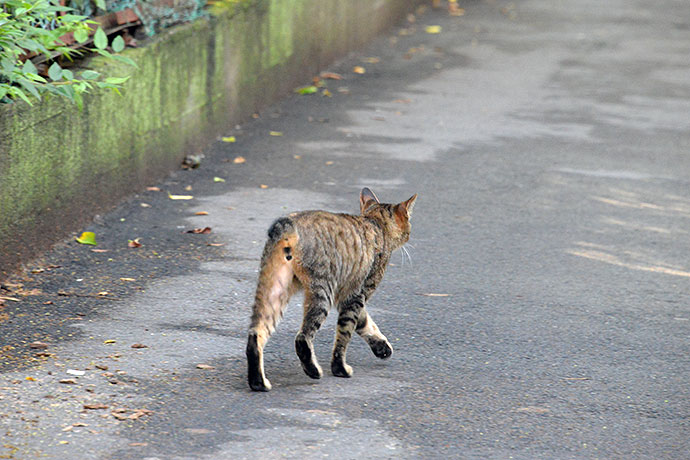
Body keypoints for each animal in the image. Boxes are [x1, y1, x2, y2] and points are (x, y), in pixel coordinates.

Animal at [247, 187, 420, 392]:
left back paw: (258, 382)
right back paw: (313, 370)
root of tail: (290, 223)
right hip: (322, 292)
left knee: (255, 334)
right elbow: (346, 333)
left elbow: (364, 322)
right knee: (302, 337)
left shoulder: (347, 295)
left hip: (275, 289)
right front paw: (340, 369)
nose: (410, 234)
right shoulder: (356, 295)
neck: (375, 223)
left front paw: (381, 347)